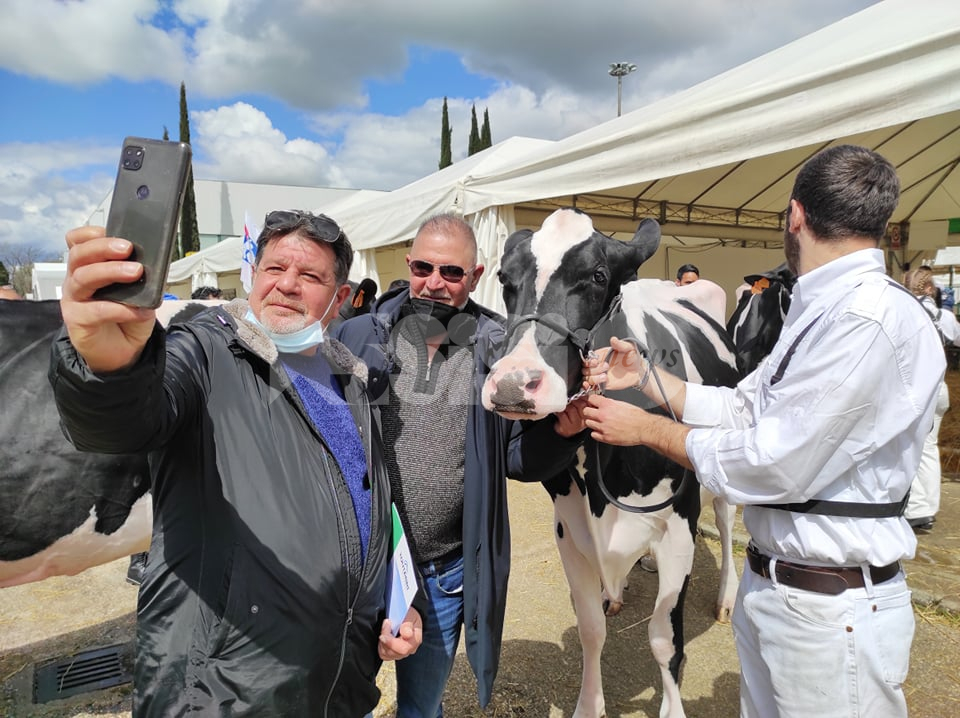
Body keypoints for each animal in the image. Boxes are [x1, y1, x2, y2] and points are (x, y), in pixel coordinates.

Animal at [482, 208, 740, 718]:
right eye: (504, 277)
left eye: (598, 277)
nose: (513, 385)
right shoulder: (568, 526)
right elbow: (590, 629)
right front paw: (589, 703)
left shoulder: (680, 525)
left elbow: (664, 639)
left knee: (725, 517)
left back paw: (725, 596)